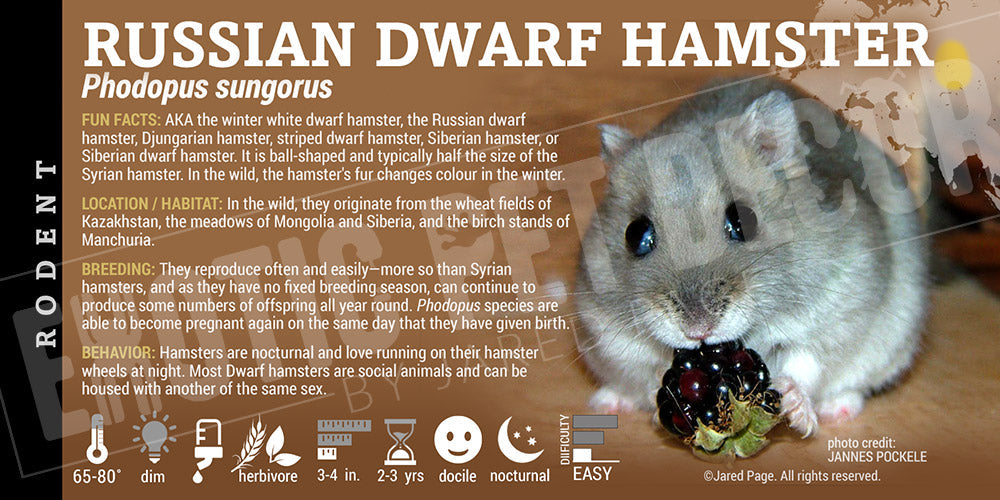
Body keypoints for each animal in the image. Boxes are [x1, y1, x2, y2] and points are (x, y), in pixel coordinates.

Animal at [575, 77, 929, 437]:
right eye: (636, 235)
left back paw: (837, 411)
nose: (698, 330)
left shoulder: (839, 310)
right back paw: (606, 403)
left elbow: (805, 362)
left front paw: (795, 411)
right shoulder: (607, 332)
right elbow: (648, 371)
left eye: (743, 220)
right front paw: (665, 401)